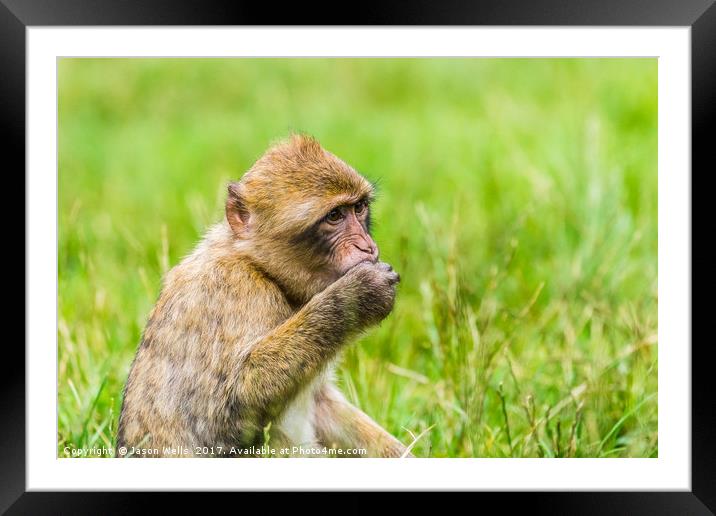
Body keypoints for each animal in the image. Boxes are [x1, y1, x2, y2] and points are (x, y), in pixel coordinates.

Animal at [116, 135, 408, 458]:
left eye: (359, 208)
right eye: (334, 216)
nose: (367, 247)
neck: (262, 268)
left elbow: (321, 403)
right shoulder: (233, 288)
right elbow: (223, 419)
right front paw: (356, 295)